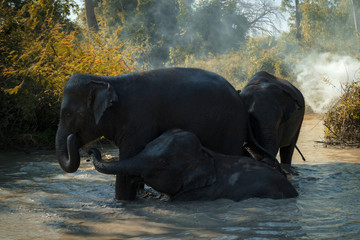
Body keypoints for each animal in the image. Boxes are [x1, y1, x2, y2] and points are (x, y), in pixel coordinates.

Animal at [56, 67, 249, 201]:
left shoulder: (138, 121)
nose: (90, 151)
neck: (105, 80)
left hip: (231, 126)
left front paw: (122, 202)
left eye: (68, 114)